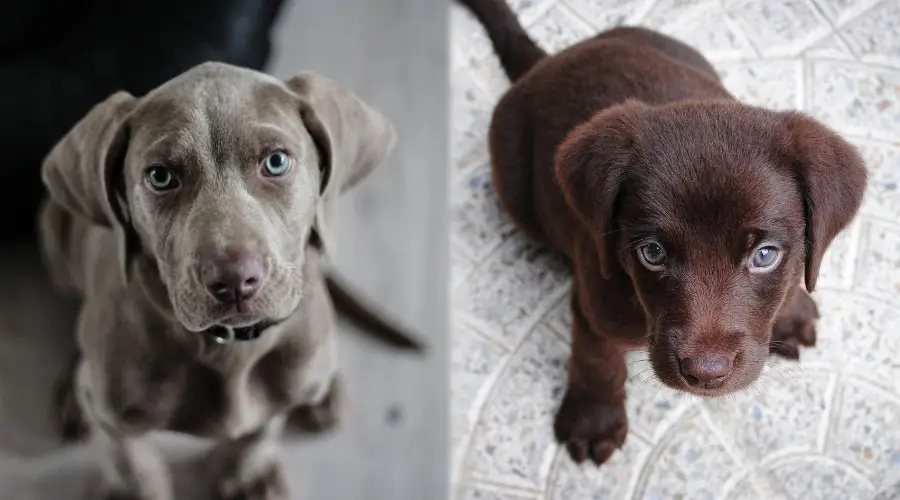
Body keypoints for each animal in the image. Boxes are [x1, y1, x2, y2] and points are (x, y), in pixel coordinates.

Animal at [38, 62, 422, 500]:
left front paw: (246, 476)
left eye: (276, 162)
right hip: (53, 232)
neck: (230, 348)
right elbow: (131, 462)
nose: (235, 281)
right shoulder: (113, 415)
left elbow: (261, 429)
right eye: (160, 176)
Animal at [460, 0, 868, 464]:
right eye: (652, 253)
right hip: (515, 188)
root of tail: (546, 62)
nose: (705, 373)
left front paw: (791, 309)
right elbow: (597, 362)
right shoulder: (594, 302)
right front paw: (593, 421)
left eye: (764, 255)